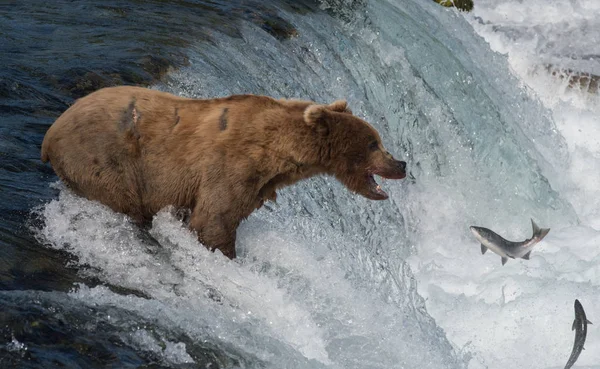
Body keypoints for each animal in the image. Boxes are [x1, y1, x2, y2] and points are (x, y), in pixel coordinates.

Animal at [41, 86, 408, 258]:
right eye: (374, 142)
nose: (402, 164)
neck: (281, 151)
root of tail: (49, 134)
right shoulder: (232, 166)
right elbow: (214, 220)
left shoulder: (259, 182)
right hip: (104, 160)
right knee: (125, 203)